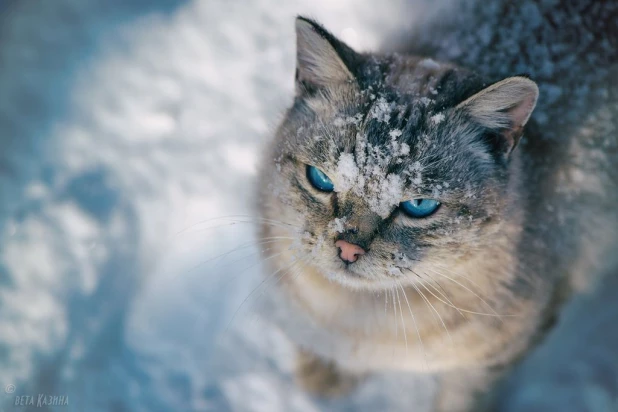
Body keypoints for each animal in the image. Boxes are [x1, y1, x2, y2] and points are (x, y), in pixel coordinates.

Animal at [253, 2, 612, 408]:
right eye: (322, 180)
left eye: (419, 205)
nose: (347, 249)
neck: (361, 314)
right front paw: (323, 376)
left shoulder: (491, 359)